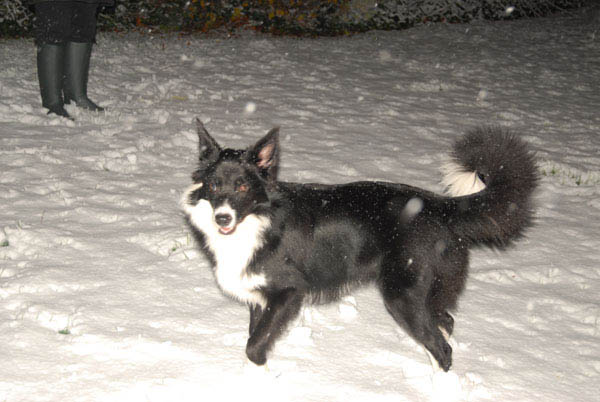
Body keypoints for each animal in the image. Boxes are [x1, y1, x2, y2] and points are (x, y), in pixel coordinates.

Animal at [180, 120, 536, 370]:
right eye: (214, 185)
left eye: (242, 186)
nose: (222, 218)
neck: (258, 219)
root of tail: (440, 205)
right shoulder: (259, 296)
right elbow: (255, 340)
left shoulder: (288, 292)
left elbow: (254, 345)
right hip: (427, 293)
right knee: (445, 323)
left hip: (402, 294)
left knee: (442, 347)